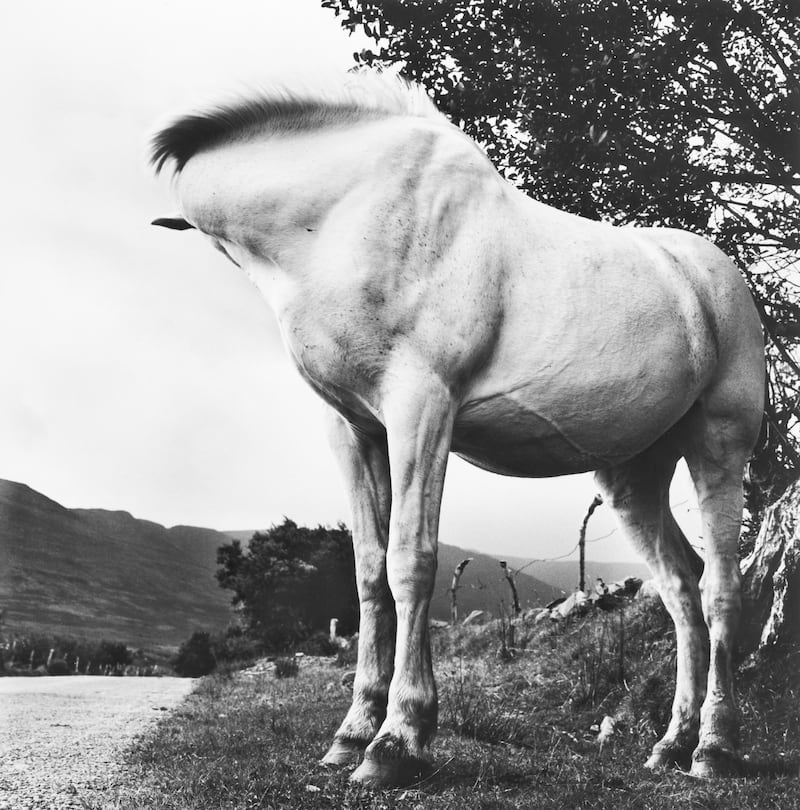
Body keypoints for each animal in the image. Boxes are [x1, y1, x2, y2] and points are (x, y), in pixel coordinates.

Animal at [150, 72, 765, 786]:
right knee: (680, 588)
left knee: (721, 587)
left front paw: (397, 739)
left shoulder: (420, 409)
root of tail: (711, 276)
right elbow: (368, 573)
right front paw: (351, 734)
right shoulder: (353, 429)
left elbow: (410, 562)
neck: (344, 212)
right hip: (632, 475)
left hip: (718, 445)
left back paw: (715, 747)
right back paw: (671, 744)